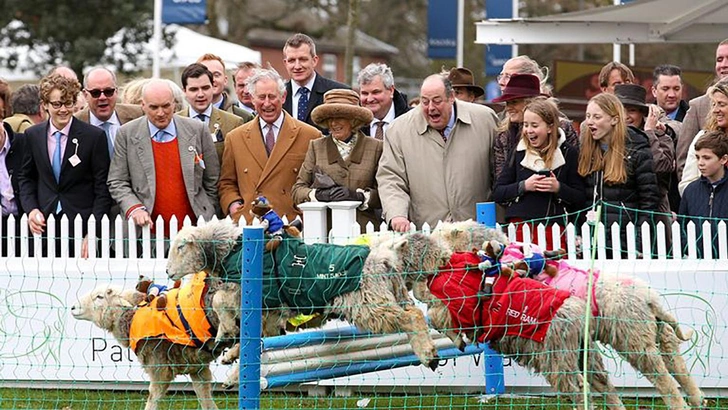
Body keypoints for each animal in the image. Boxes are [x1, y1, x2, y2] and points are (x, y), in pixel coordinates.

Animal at [71, 272, 236, 410]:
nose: (72, 307)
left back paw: (230, 370)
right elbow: (206, 400)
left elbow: (152, 398)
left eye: (99, 297)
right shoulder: (198, 368)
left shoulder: (159, 368)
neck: (131, 318)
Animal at [166, 221, 450, 372]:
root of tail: (384, 259)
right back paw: (429, 352)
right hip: (391, 296)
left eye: (180, 247)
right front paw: (232, 352)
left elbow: (219, 302)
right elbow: (257, 336)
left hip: (367, 304)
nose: (168, 272)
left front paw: (225, 332)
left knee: (410, 318)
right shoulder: (270, 312)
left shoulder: (250, 293)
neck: (234, 249)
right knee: (414, 313)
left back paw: (428, 355)